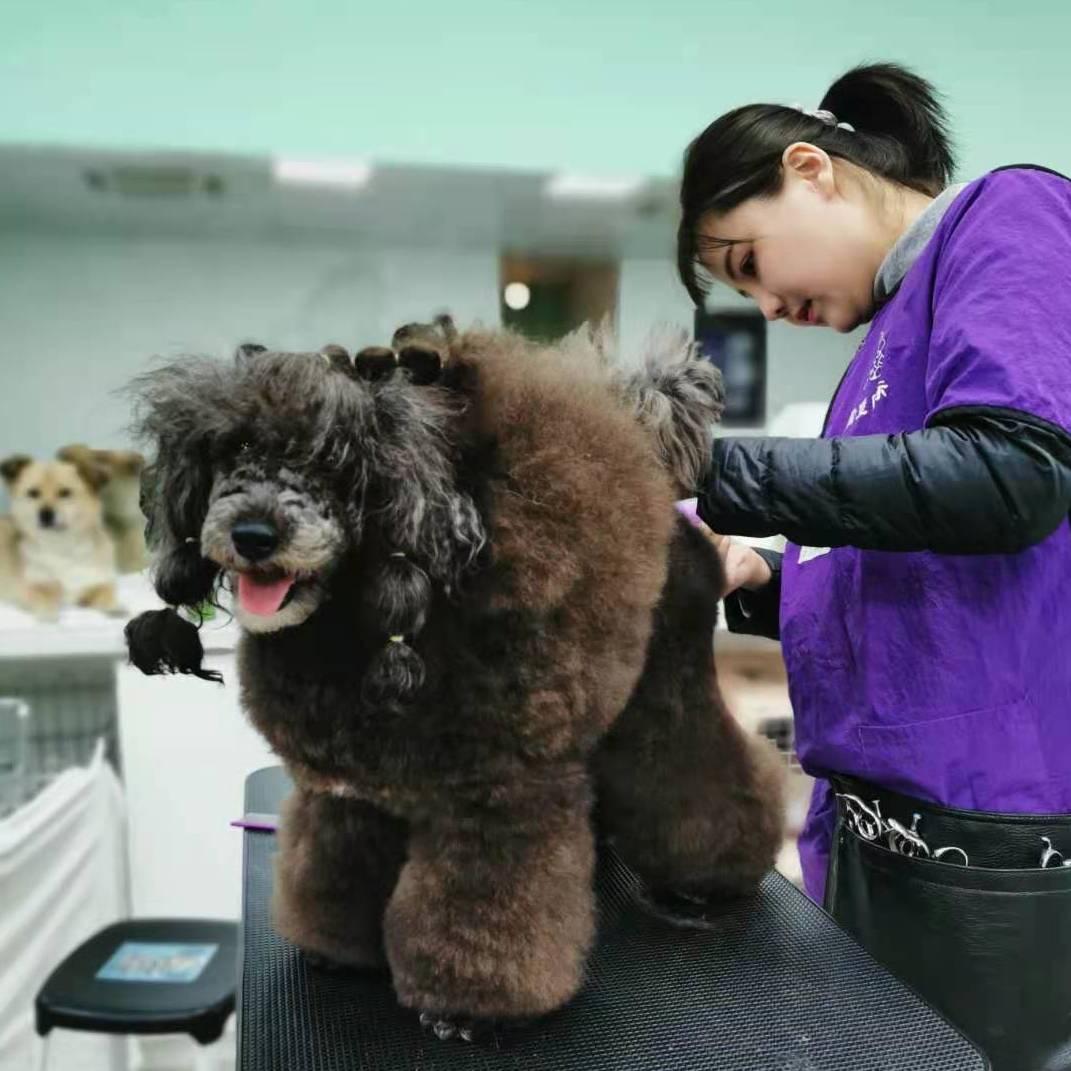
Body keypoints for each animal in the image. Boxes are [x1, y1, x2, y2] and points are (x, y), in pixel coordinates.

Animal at [0, 456, 123, 625]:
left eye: (65, 493)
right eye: (33, 493)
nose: (45, 514)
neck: (63, 548)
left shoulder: (97, 582)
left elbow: (106, 593)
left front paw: (114, 607)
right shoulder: (32, 586)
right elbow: (43, 597)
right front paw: (48, 613)